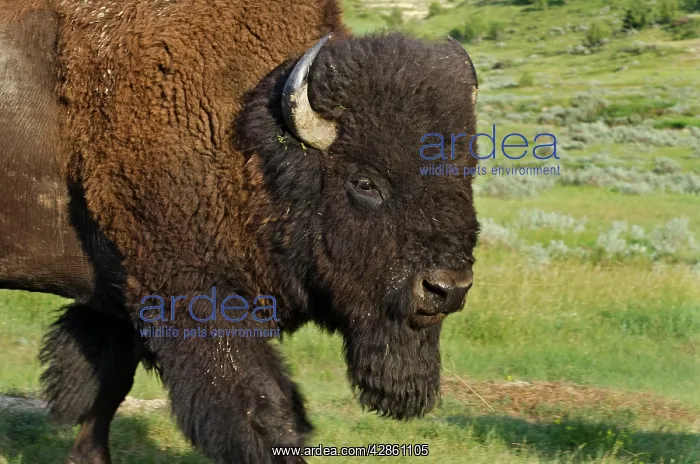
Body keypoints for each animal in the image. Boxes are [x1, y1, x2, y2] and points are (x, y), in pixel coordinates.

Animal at [0, 0, 480, 463]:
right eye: (365, 183)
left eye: (467, 172)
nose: (446, 288)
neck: (250, 142)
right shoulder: (192, 296)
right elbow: (261, 407)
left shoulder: (119, 297)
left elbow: (107, 384)